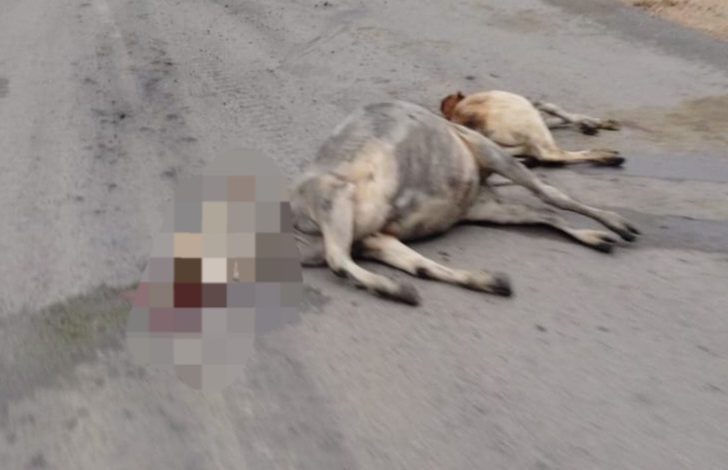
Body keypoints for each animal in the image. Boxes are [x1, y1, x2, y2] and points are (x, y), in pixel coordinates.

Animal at [440, 90, 624, 168]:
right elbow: (549, 106)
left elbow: (554, 115)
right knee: (550, 154)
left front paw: (591, 123)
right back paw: (609, 157)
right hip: (530, 125)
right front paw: (590, 123)